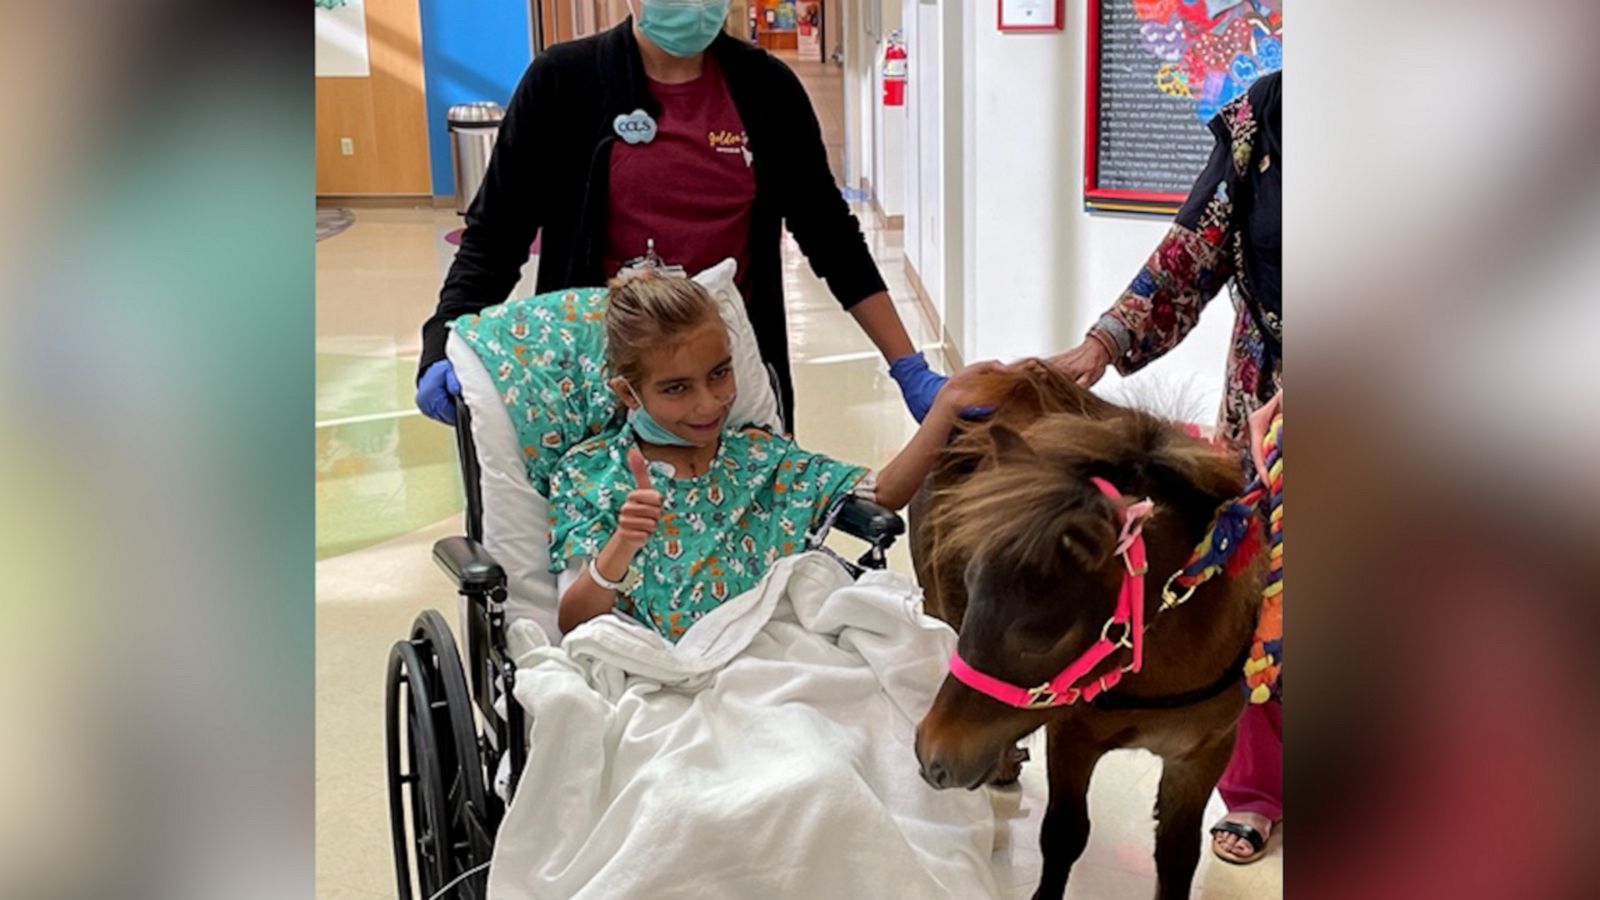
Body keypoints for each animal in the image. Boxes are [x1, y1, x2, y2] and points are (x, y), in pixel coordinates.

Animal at [915, 360, 1260, 896]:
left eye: (1043, 637)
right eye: (973, 587)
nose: (932, 755)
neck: (1164, 668)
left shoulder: (1204, 751)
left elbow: (1178, 854)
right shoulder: (1072, 734)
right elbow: (1063, 834)